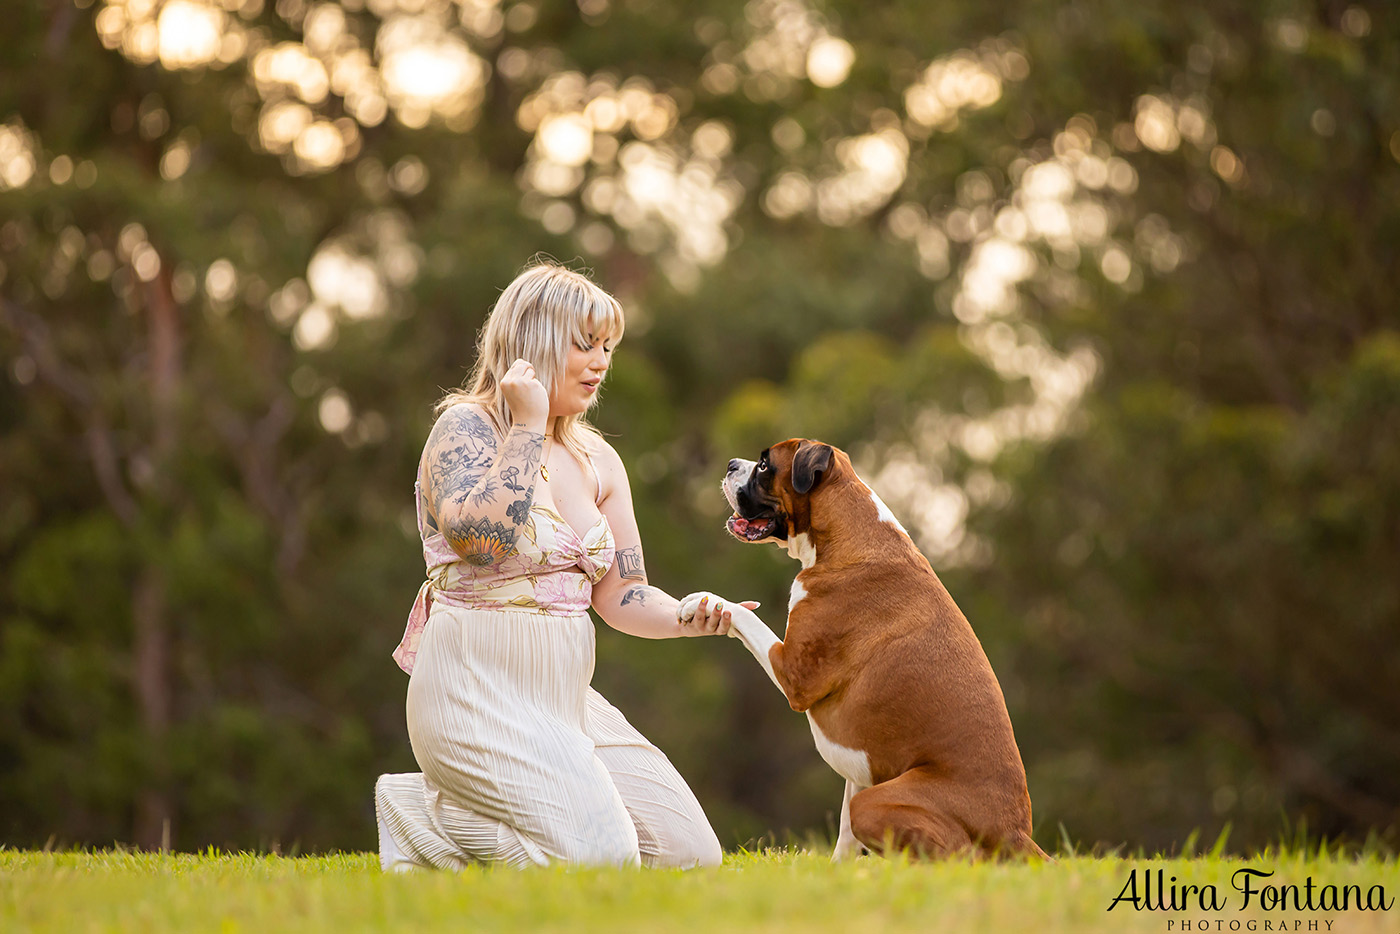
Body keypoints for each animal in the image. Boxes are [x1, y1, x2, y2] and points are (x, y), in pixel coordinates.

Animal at [683, 439, 1047, 862]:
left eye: (763, 465)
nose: (730, 464)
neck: (845, 539)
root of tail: (1015, 832)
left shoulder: (794, 672)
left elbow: (745, 616)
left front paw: (703, 601)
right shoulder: (863, 764)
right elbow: (843, 832)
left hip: (878, 804)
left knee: (960, 858)